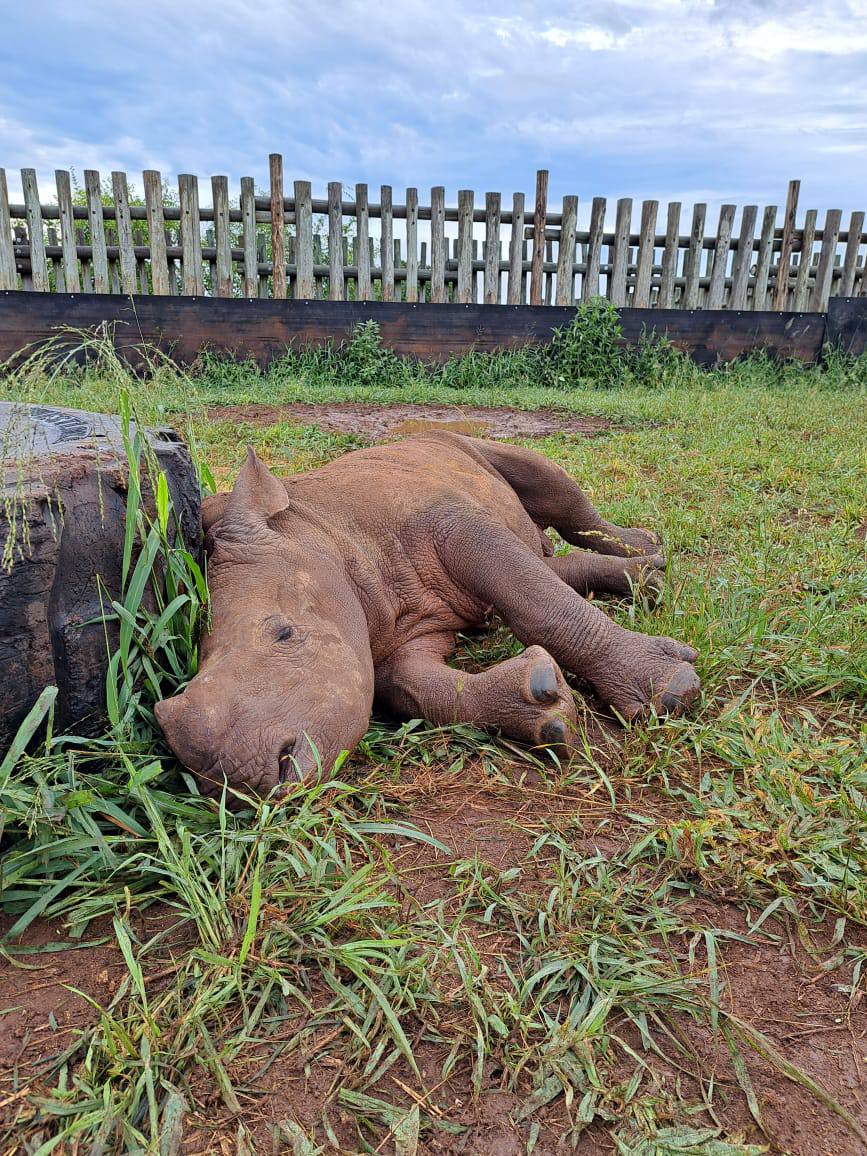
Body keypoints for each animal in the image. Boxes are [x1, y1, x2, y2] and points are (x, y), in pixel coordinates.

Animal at [154, 432, 700, 797]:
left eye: (286, 634)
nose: (230, 773)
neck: (318, 528)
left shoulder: (452, 523)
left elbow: (537, 601)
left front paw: (671, 689)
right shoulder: (403, 634)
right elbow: (419, 688)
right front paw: (544, 714)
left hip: (460, 440)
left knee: (555, 494)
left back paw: (645, 548)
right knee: (543, 557)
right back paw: (646, 576)